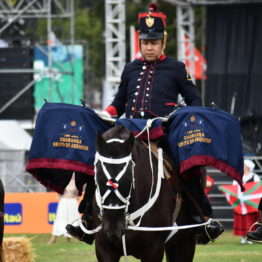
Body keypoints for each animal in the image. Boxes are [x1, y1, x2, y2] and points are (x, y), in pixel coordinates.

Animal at [92, 125, 199, 262]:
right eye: (98, 177)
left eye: (129, 178)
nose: (113, 228)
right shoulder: (104, 249)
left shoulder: (154, 250)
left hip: (185, 243)